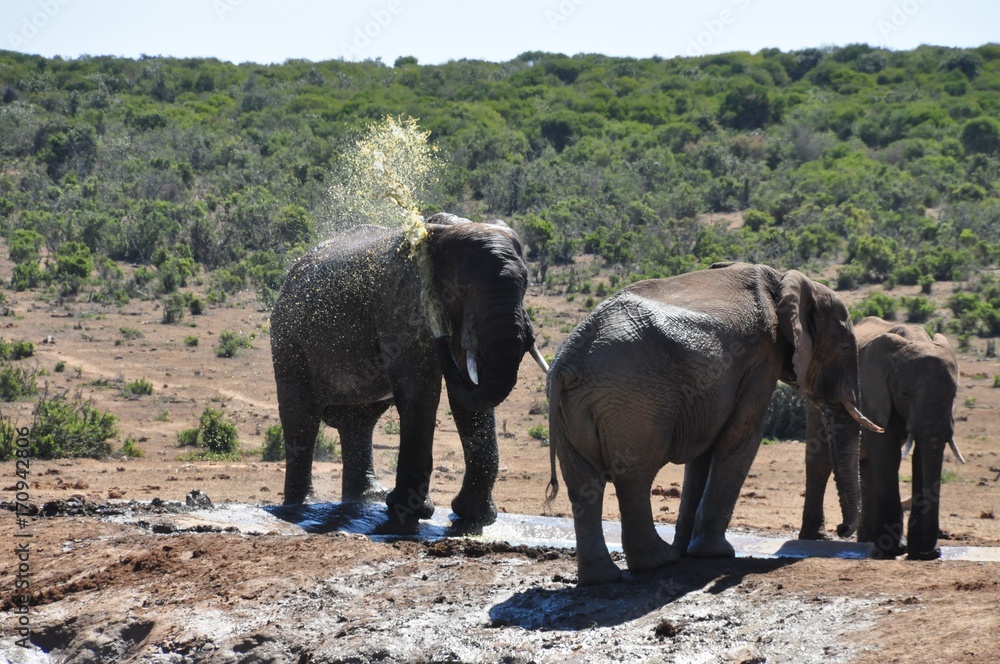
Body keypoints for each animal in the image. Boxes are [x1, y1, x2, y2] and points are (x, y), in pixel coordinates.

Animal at [271, 213, 548, 525]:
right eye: (459, 289)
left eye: (525, 285)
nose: (441, 332)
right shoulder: (399, 308)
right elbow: (421, 390)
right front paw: (409, 512)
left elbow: (469, 398)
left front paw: (475, 517)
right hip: (288, 335)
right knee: (301, 416)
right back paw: (300, 506)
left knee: (359, 421)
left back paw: (367, 498)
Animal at [546, 262, 883, 585]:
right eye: (844, 348)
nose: (840, 530)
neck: (781, 280)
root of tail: (567, 364)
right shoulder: (762, 357)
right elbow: (741, 437)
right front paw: (716, 553)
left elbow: (704, 453)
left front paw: (690, 549)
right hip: (634, 401)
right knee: (635, 475)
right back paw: (659, 561)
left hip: (578, 409)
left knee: (584, 485)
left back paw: (601, 578)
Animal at [800, 317, 963, 560]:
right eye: (905, 394)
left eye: (953, 395)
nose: (931, 552)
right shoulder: (870, 393)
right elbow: (887, 453)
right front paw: (893, 550)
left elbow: (921, 455)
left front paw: (918, 551)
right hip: (816, 399)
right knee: (820, 462)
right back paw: (816, 539)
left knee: (866, 469)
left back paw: (867, 541)